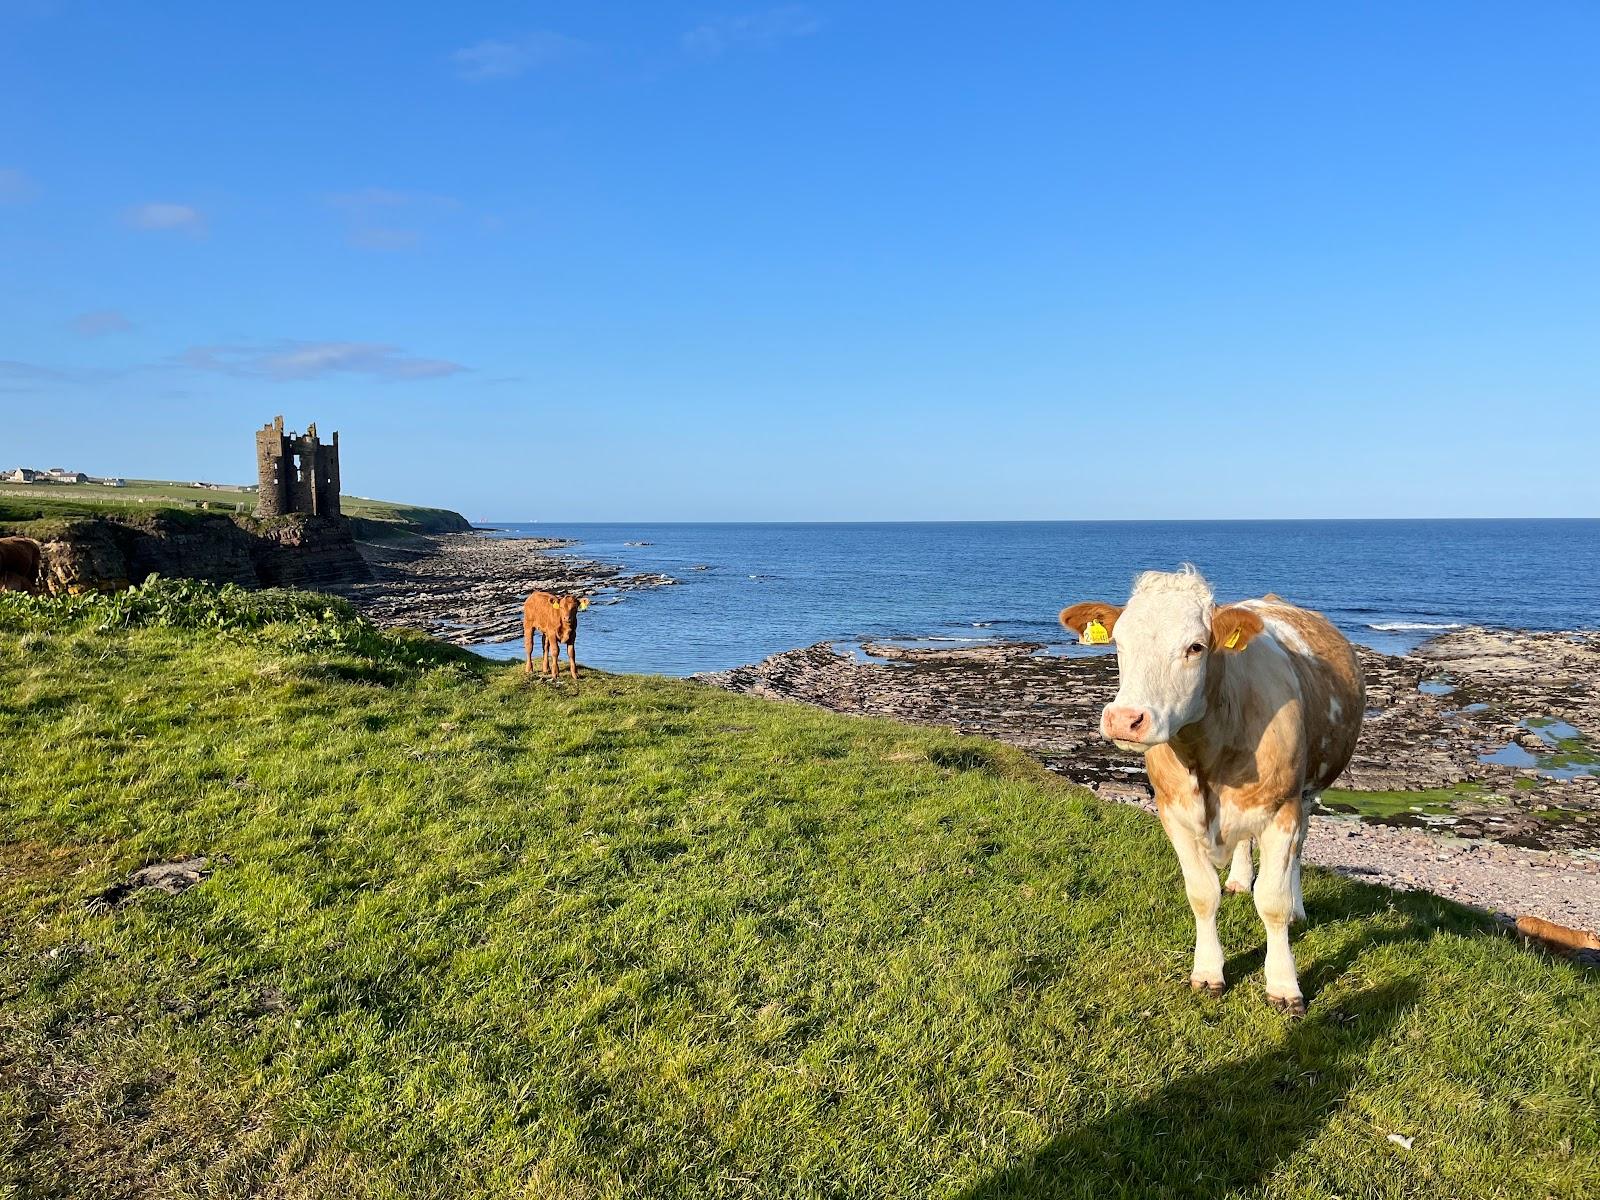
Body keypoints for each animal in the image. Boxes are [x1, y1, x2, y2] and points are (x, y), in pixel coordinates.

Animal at [1062, 569, 1363, 1017]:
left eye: (1195, 647)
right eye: (1119, 642)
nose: (1125, 719)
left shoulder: (1282, 809)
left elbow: (1271, 901)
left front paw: (1283, 984)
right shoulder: (1173, 814)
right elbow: (1203, 894)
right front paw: (1208, 971)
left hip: (1307, 791)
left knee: (1298, 849)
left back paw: (1297, 908)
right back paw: (1239, 878)